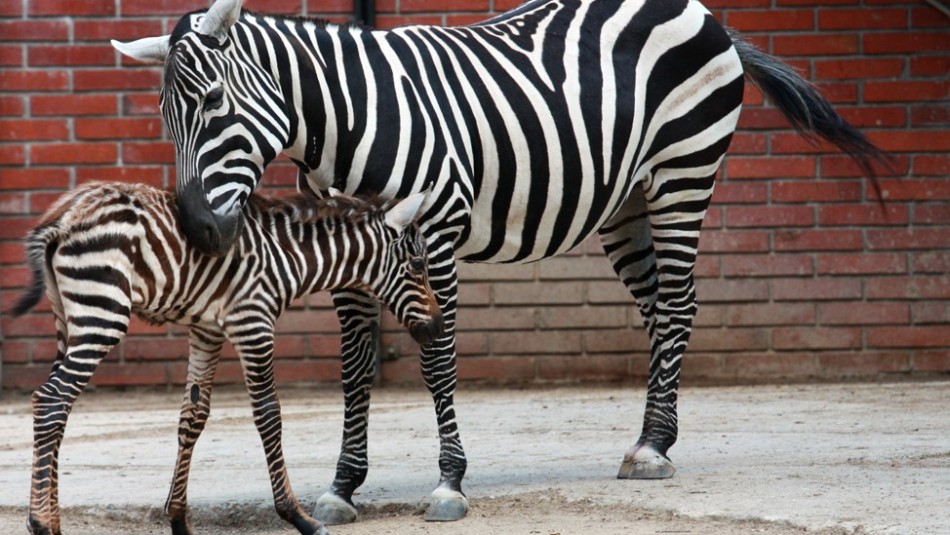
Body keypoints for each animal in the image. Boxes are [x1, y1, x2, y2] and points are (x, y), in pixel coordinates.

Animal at [12, 181, 441, 535]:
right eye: (418, 265)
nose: (435, 328)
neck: (286, 256)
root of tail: (63, 217)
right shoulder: (253, 323)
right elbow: (269, 416)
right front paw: (298, 517)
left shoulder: (207, 331)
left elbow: (193, 416)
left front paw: (178, 519)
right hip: (102, 313)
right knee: (51, 400)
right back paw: (42, 524)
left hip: (68, 319)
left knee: (56, 407)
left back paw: (51, 519)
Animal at [112, 0, 888, 524]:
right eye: (164, 116)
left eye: (214, 101)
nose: (199, 229)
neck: (346, 126)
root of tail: (697, 11)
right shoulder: (353, 256)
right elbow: (355, 369)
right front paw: (341, 485)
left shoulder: (436, 231)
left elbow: (438, 355)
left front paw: (450, 481)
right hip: (627, 199)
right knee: (663, 310)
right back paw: (654, 437)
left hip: (683, 175)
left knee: (678, 304)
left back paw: (651, 451)